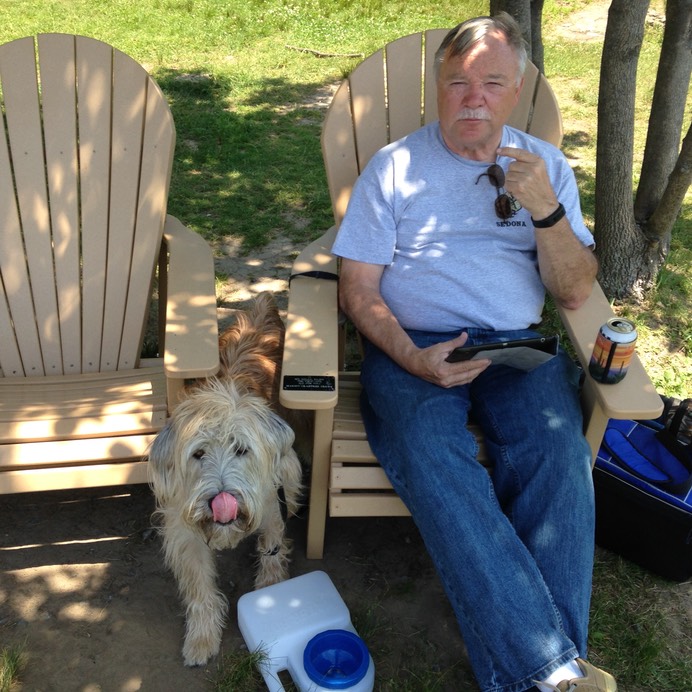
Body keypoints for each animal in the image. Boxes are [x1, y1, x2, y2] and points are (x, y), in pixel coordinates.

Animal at [149, 292, 302, 664]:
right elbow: (199, 586)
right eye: (198, 454)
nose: (221, 499)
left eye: (241, 449)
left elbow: (272, 549)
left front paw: (271, 593)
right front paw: (202, 637)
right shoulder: (184, 532)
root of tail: (262, 303)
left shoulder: (272, 502)